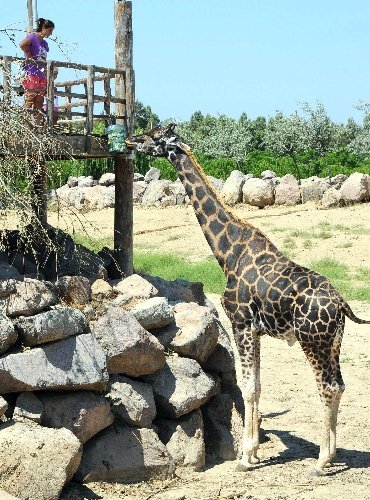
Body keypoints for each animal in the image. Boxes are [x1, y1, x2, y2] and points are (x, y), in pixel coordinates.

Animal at [125, 124, 370, 472]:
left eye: (153, 135)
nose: (130, 140)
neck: (227, 252)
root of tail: (341, 304)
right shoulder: (256, 330)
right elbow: (256, 384)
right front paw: (253, 452)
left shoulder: (240, 322)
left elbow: (247, 387)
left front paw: (244, 456)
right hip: (333, 341)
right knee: (340, 385)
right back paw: (331, 455)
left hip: (313, 340)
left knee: (328, 386)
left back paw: (321, 461)